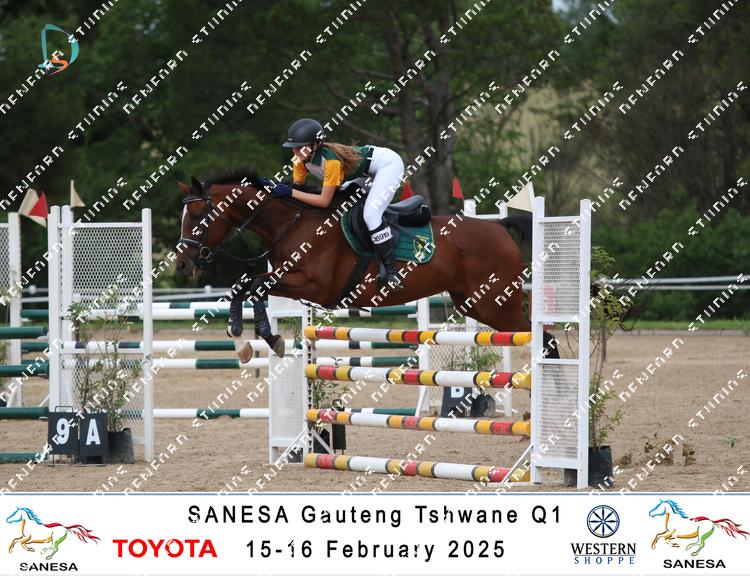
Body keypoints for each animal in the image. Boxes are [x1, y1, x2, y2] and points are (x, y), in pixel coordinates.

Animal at [175, 168, 558, 362]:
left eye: (195, 216)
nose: (182, 263)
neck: (293, 222)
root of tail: (499, 228)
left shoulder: (314, 285)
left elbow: (255, 284)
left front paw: (269, 338)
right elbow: (244, 284)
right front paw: (241, 340)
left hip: (496, 302)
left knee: (544, 338)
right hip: (473, 303)